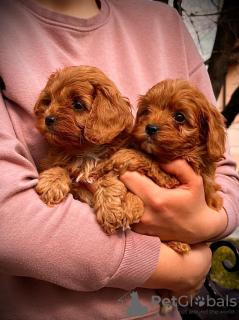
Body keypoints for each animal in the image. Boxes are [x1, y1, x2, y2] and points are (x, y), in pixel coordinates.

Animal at [34, 65, 134, 208]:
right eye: (48, 102)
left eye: (78, 105)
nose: (48, 119)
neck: (86, 151)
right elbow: (60, 167)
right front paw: (52, 182)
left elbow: (108, 176)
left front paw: (109, 204)